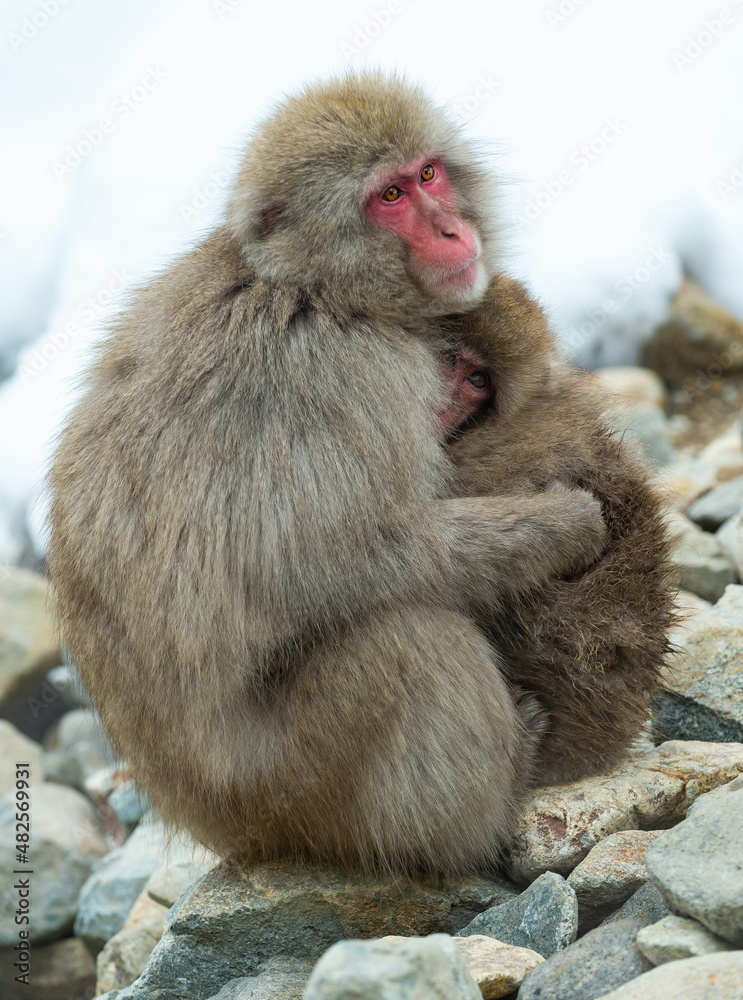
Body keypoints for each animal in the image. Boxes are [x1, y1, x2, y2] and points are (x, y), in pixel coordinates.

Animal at [48, 72, 608, 875]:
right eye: (389, 198)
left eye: (428, 175)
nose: (451, 230)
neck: (322, 290)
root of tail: (213, 824)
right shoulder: (342, 373)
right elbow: (329, 559)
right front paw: (566, 524)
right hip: (296, 787)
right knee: (405, 642)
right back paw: (497, 791)